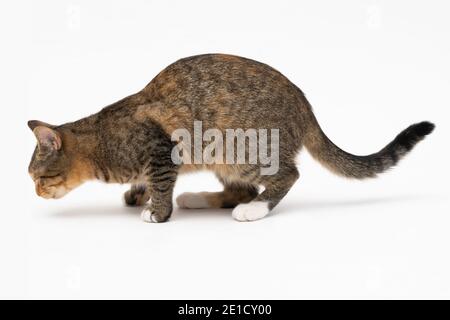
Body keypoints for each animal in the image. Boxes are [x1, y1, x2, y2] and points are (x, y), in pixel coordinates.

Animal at [26, 53, 434, 222]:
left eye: (37, 177)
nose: (35, 193)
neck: (101, 138)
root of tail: (305, 105)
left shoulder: (161, 149)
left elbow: (160, 182)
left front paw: (157, 211)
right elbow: (147, 183)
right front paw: (138, 194)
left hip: (238, 147)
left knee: (285, 176)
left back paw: (254, 209)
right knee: (241, 189)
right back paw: (198, 198)